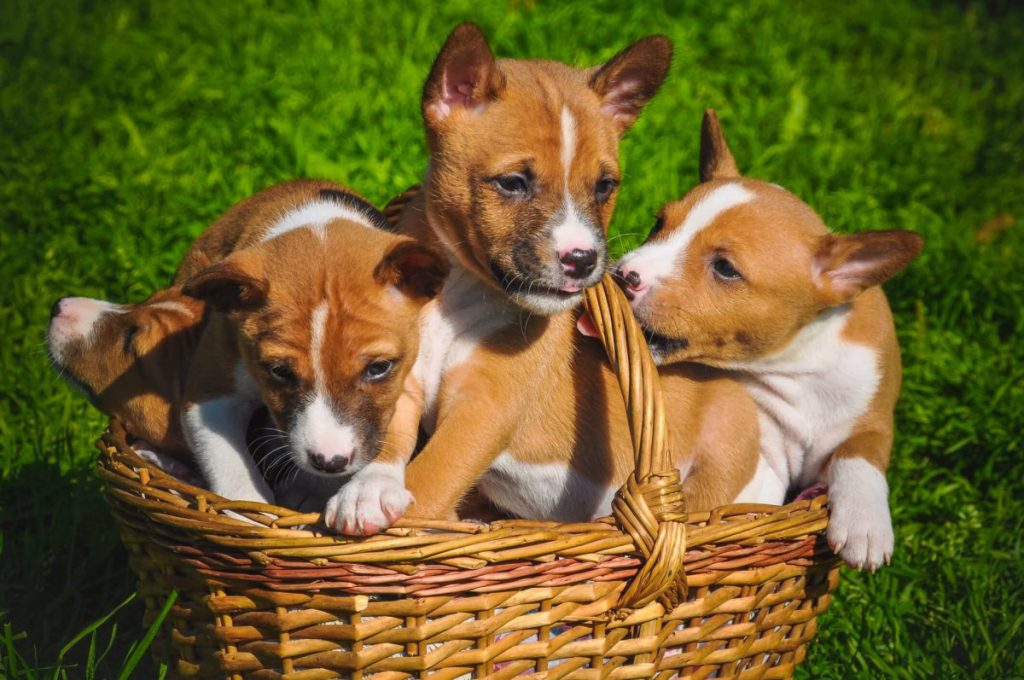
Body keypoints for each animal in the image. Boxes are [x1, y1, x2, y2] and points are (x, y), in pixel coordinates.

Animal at [177, 178, 448, 522]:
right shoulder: (208, 393)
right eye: (279, 371)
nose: (329, 462)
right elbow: (233, 475)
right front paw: (249, 516)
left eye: (379, 368)